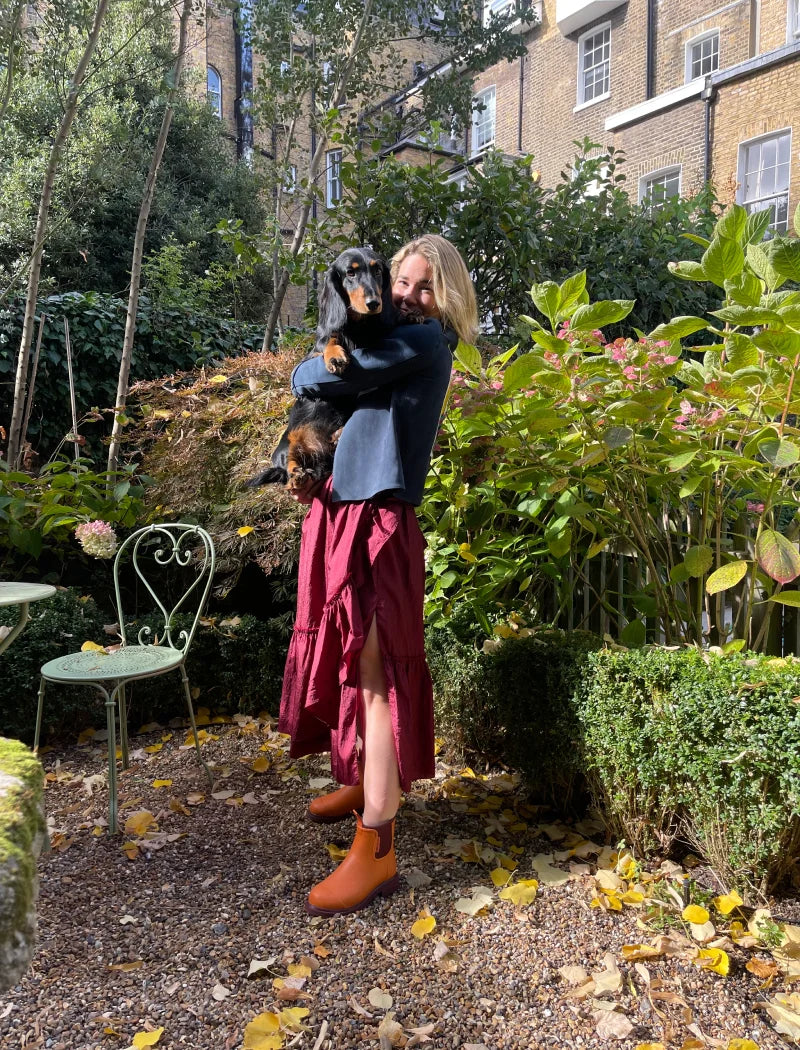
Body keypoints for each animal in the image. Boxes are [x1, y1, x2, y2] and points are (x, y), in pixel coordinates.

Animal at [247, 247, 396, 493]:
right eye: (350, 273)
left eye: (377, 270)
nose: (374, 303)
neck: (358, 327)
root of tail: (317, 452)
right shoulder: (315, 352)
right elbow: (330, 338)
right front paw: (335, 355)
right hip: (288, 443)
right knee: (290, 463)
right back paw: (296, 476)